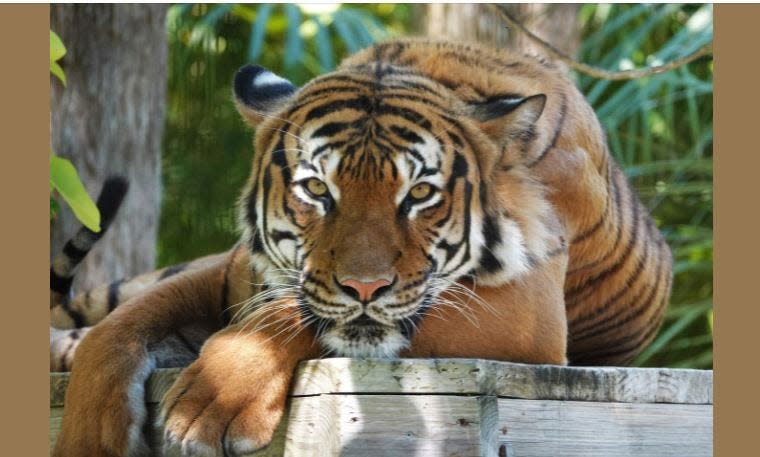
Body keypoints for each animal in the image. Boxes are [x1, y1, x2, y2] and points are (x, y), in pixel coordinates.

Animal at [52, 40, 672, 456]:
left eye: (419, 193)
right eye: (316, 189)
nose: (365, 287)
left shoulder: (529, 315)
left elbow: (288, 316)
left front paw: (212, 403)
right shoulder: (232, 273)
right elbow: (117, 331)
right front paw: (88, 437)